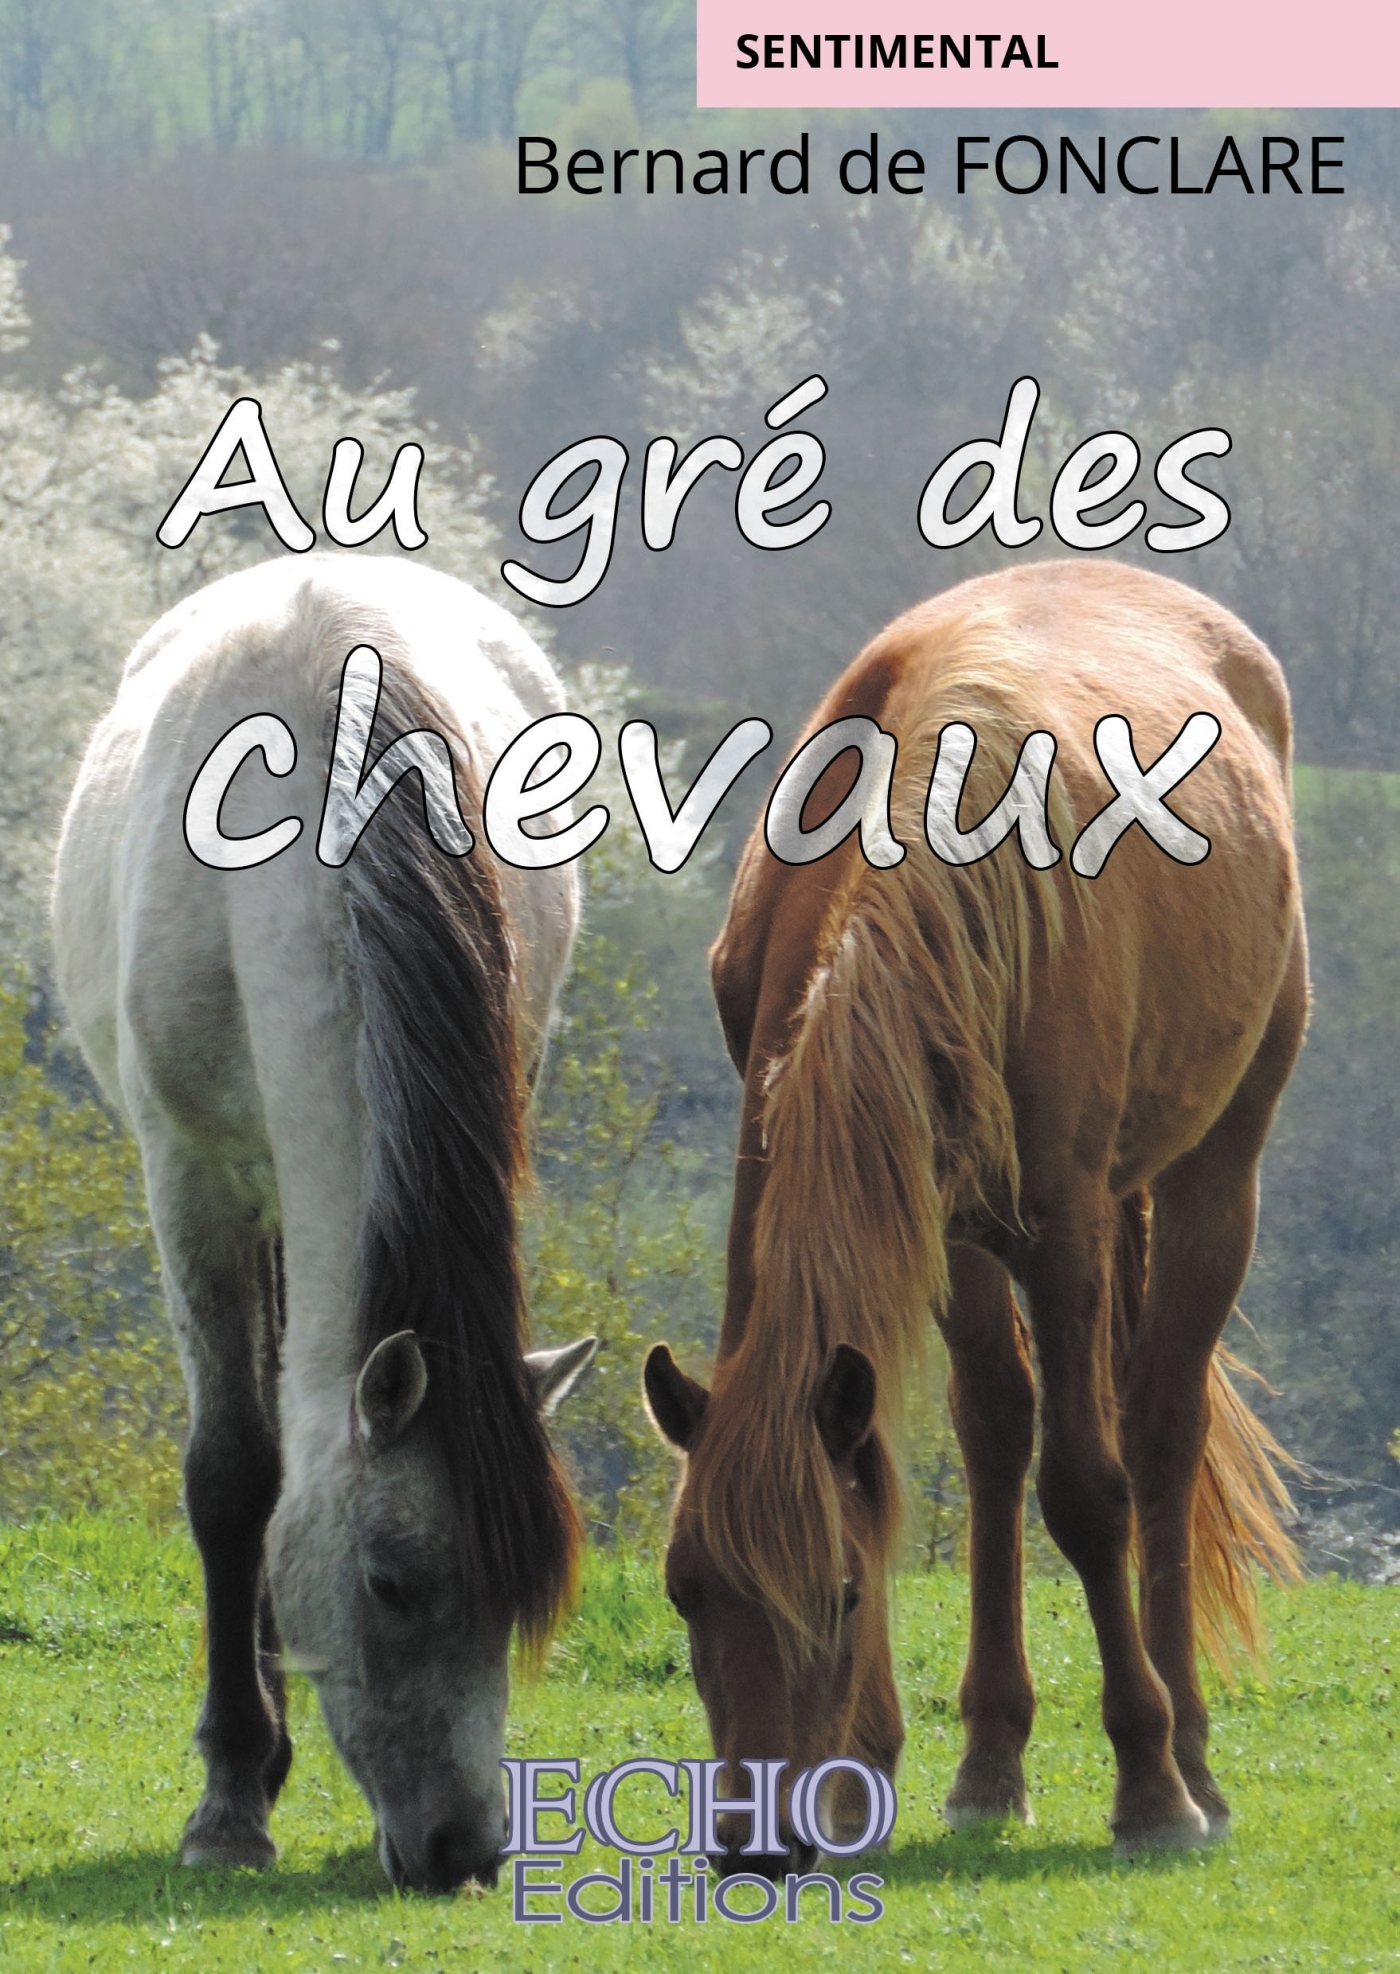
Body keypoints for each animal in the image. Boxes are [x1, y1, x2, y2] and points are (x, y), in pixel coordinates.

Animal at [52, 554, 596, 1892]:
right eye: (391, 1585)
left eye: (521, 1598)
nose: (462, 1850)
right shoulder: (190, 1177)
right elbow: (234, 1475)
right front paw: (229, 1800)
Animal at [646, 560, 1307, 1870]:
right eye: (687, 1590)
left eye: (840, 1597)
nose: (753, 1842)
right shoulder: (940, 1218)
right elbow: (971, 1444)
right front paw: (927, 1768)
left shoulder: (1060, 1225)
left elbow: (1087, 1492)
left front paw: (1147, 1784)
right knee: (1002, 1433)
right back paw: (995, 1758)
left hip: (1214, 1174)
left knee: (1159, 1435)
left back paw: (1192, 1758)